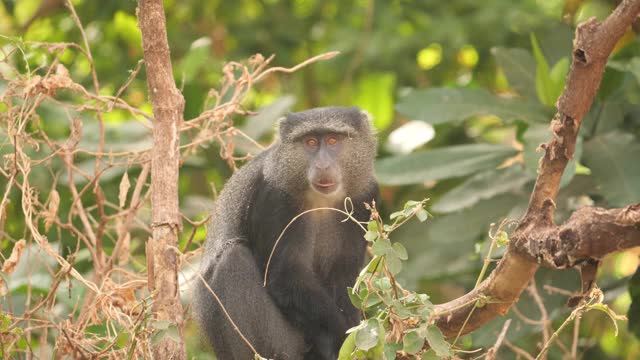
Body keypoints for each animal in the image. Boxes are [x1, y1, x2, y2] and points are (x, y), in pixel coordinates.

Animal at [192, 105, 378, 358]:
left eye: (333, 140)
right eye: (310, 142)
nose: (322, 165)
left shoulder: (365, 196)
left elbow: (344, 277)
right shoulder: (274, 195)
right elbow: (285, 276)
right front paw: (341, 340)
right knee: (233, 259)